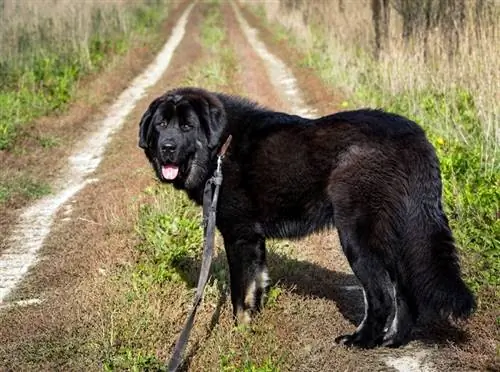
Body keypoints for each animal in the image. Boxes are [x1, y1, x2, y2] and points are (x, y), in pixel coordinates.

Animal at [139, 87, 474, 348]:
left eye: (187, 126)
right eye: (162, 124)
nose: (167, 147)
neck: (222, 146)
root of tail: (415, 138)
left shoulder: (239, 237)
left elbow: (239, 293)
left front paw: (239, 332)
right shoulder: (255, 240)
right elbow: (257, 284)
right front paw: (254, 324)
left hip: (357, 237)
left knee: (381, 297)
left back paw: (362, 341)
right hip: (393, 236)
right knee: (404, 292)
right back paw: (394, 340)